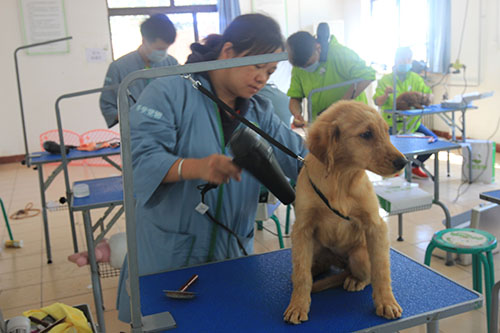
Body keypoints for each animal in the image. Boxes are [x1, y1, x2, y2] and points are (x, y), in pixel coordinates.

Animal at [284, 100, 408, 322]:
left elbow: (381, 270)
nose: (403, 162)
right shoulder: (302, 228)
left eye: (386, 132)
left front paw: (387, 302)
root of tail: (340, 263)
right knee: (315, 266)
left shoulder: (375, 225)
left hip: (359, 256)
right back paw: (316, 271)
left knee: (365, 274)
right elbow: (301, 273)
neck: (341, 178)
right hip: (315, 246)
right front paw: (298, 304)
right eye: (366, 134)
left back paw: (354, 280)